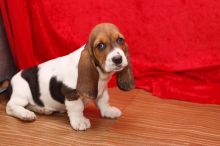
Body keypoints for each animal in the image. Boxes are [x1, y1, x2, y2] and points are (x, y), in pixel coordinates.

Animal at [6, 23, 135, 131]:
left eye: (120, 40)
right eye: (100, 46)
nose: (118, 59)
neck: (101, 74)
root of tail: (11, 81)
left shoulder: (102, 91)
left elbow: (104, 101)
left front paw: (108, 111)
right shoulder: (71, 94)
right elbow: (77, 108)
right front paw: (80, 122)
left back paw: (42, 109)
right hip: (21, 93)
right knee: (10, 107)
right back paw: (25, 114)